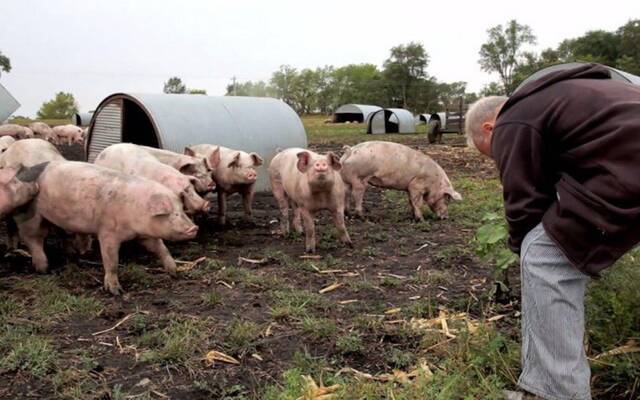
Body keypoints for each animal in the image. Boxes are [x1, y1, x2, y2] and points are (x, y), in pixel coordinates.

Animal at [16, 161, 198, 296]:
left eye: (181, 210)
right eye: (172, 213)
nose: (194, 228)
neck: (136, 210)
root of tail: (22, 173)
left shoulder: (144, 234)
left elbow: (160, 248)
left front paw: (174, 271)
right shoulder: (108, 233)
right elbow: (111, 261)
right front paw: (116, 291)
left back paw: (72, 254)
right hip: (30, 216)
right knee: (33, 238)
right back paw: (43, 268)